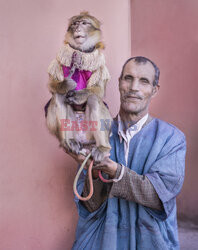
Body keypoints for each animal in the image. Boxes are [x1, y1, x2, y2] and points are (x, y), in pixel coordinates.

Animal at [45, 12, 112, 162]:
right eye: (75, 24)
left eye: (84, 23)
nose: (77, 29)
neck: (81, 51)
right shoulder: (58, 60)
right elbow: (52, 85)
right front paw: (66, 84)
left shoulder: (99, 63)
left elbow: (99, 90)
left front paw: (78, 95)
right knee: (59, 96)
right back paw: (68, 141)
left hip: (93, 132)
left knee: (93, 99)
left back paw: (102, 148)